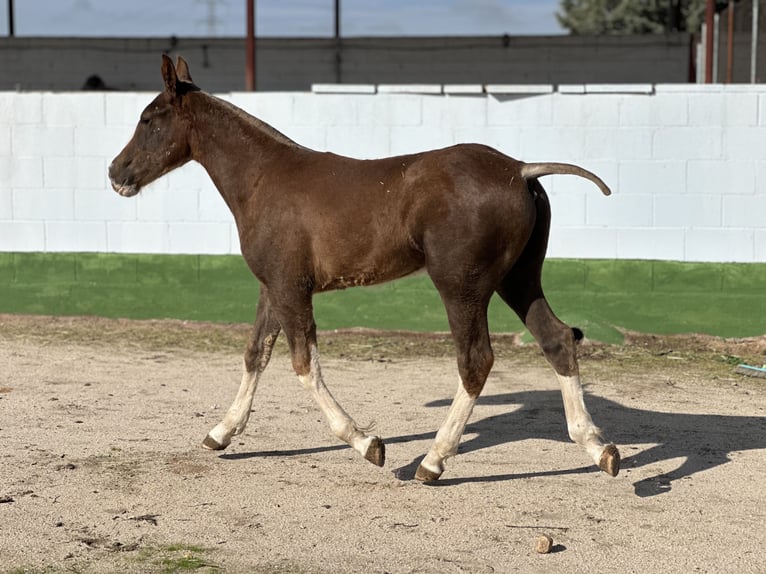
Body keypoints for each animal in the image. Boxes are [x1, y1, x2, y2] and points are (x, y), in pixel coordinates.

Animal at [109, 56, 624, 484]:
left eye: (149, 119)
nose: (116, 173)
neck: (263, 180)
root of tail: (520, 169)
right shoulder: (273, 286)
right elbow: (255, 354)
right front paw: (220, 433)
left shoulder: (291, 289)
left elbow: (303, 364)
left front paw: (368, 443)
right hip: (518, 279)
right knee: (557, 339)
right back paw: (599, 448)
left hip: (462, 286)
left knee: (475, 361)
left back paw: (433, 461)